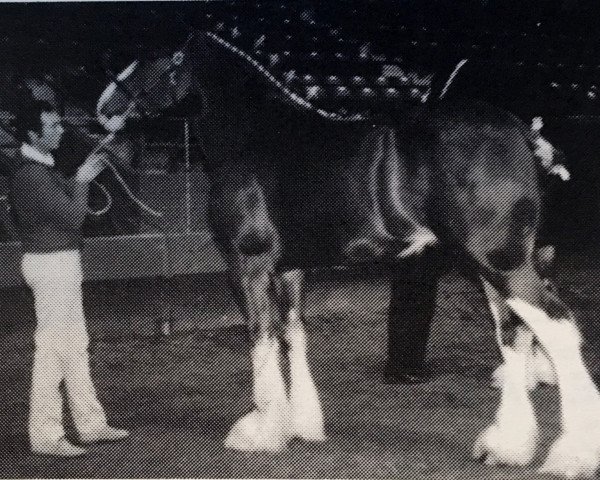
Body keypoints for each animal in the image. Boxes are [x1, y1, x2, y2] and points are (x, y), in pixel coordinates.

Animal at [94, 31, 600, 478]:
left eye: (149, 59)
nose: (103, 107)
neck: (258, 136)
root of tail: (523, 133)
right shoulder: (290, 270)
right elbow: (292, 335)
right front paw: (300, 424)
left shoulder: (249, 264)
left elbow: (260, 337)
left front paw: (260, 432)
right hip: (490, 266)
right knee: (514, 336)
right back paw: (506, 446)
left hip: (502, 262)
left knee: (556, 328)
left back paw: (571, 455)